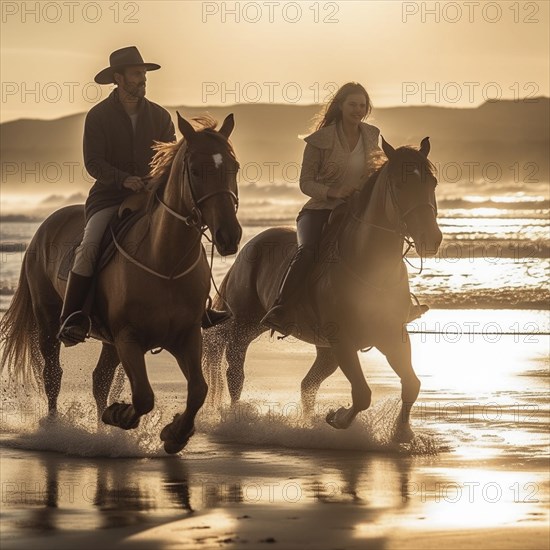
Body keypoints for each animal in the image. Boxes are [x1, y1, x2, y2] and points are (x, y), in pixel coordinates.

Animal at [0, 113, 242, 458]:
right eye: (196, 170)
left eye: (234, 167)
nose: (229, 236)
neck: (165, 262)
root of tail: (45, 226)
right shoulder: (129, 338)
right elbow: (143, 396)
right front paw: (121, 415)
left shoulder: (186, 336)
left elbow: (198, 390)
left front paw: (175, 434)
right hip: (48, 323)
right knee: (53, 376)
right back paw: (55, 428)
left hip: (109, 341)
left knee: (99, 380)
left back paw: (103, 435)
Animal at [206, 139, 444, 444]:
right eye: (400, 185)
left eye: (432, 182)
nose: (431, 239)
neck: (369, 263)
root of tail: (249, 246)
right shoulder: (342, 339)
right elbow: (362, 394)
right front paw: (337, 417)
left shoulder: (392, 335)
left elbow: (411, 383)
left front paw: (401, 432)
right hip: (245, 325)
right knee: (235, 371)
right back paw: (237, 421)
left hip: (323, 351)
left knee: (307, 384)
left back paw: (306, 425)